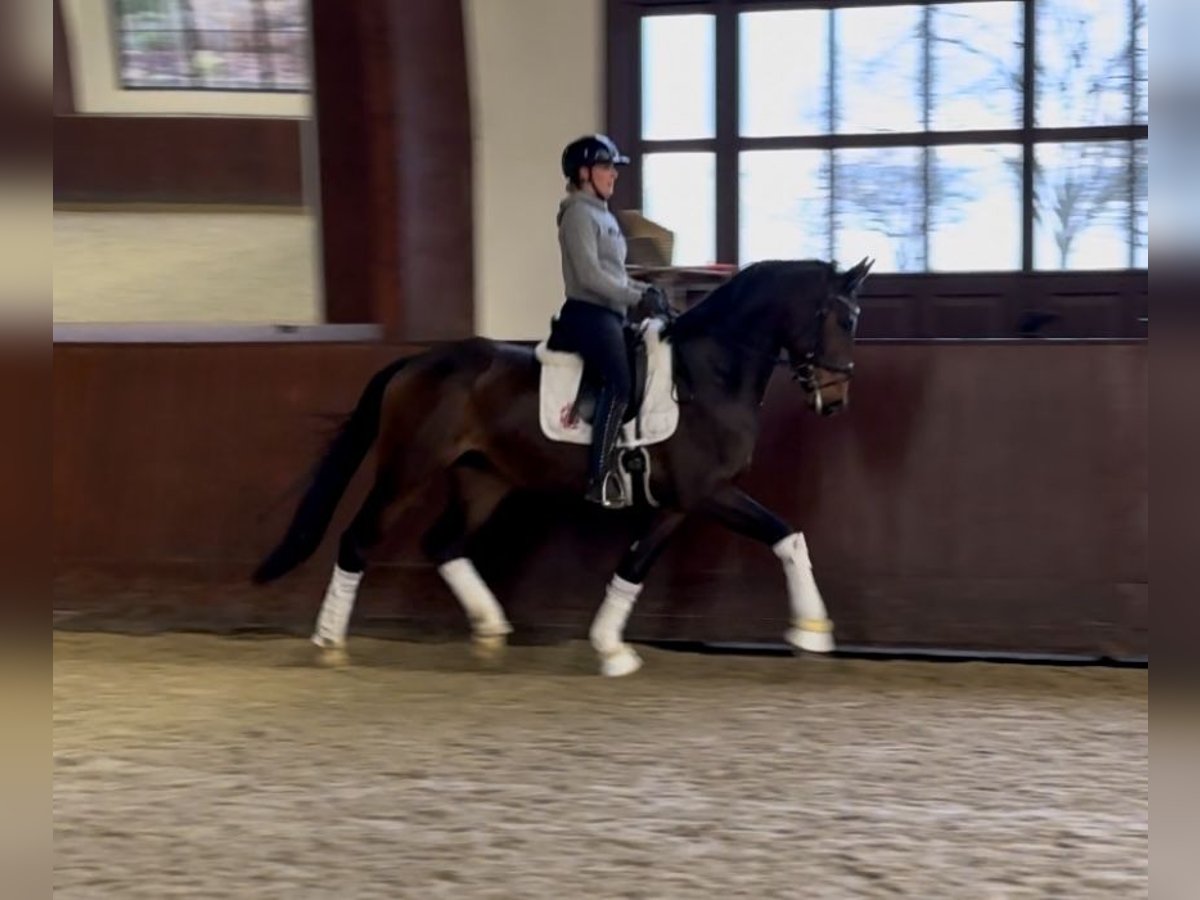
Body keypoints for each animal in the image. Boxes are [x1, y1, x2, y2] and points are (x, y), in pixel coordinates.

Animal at [253, 255, 873, 676]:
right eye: (842, 319)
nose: (836, 399)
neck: (708, 374)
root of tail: (416, 361)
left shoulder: (678, 503)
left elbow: (635, 565)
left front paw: (610, 647)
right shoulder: (707, 492)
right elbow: (785, 534)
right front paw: (813, 632)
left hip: (484, 478)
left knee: (443, 544)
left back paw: (490, 629)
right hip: (407, 471)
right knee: (358, 539)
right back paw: (330, 643)